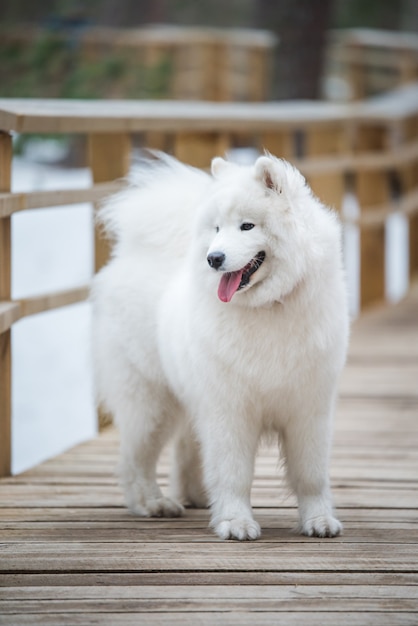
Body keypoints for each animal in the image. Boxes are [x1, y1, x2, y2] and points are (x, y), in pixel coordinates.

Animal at [92, 154, 350, 540]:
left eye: (247, 226)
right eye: (216, 229)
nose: (213, 258)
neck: (268, 308)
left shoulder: (308, 408)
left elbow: (311, 474)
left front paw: (318, 520)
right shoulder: (230, 409)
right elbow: (233, 474)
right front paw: (235, 522)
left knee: (185, 449)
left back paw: (195, 496)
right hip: (151, 404)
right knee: (136, 461)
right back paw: (152, 503)